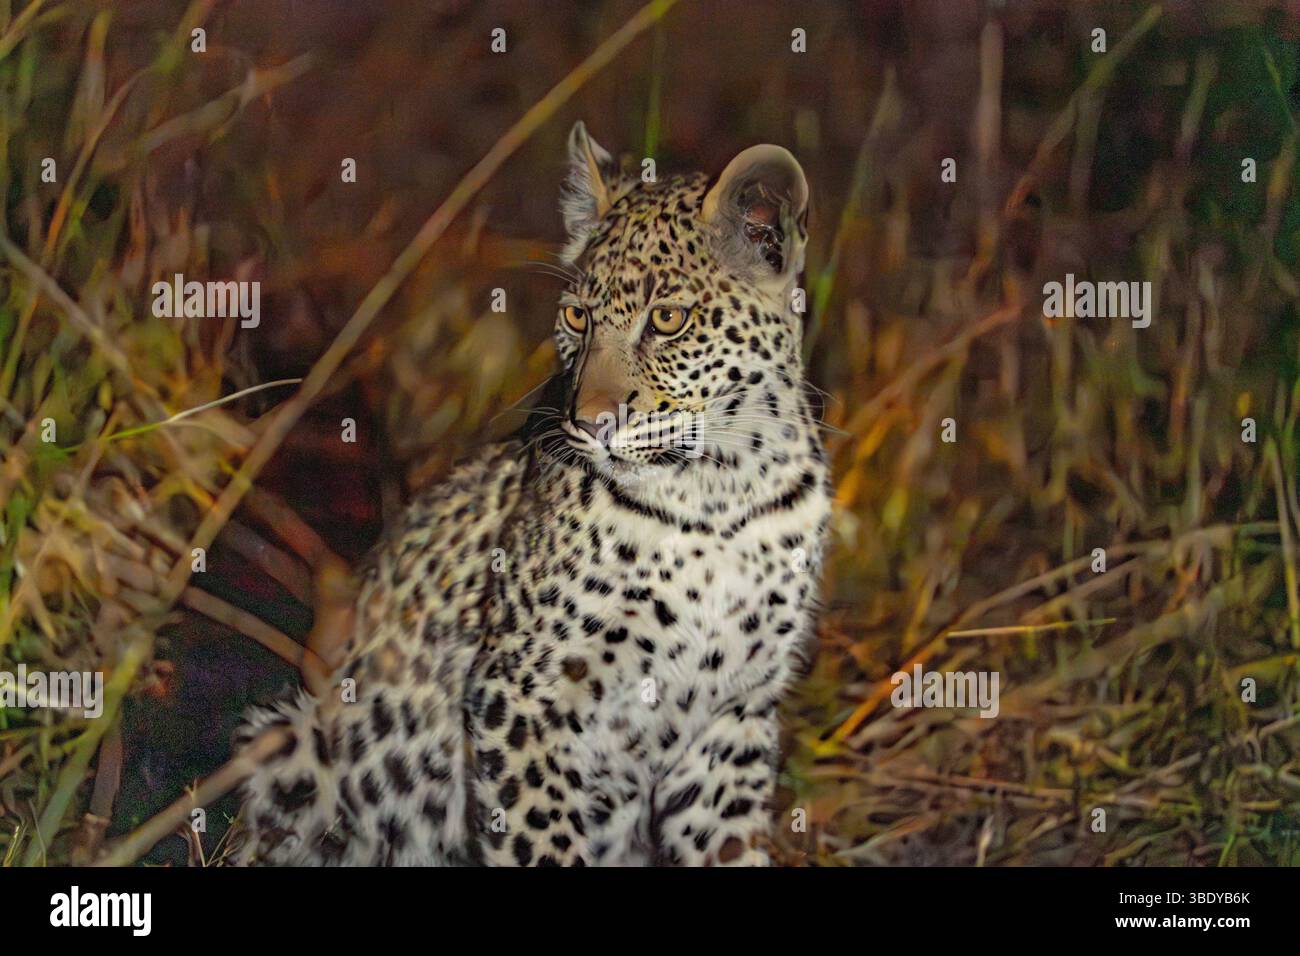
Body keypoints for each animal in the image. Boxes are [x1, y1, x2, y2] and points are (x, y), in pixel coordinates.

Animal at [233, 121, 831, 866]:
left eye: (668, 319)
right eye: (576, 316)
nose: (593, 421)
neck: (720, 488)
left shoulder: (733, 716)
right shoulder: (523, 693)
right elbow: (544, 840)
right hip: (294, 745)